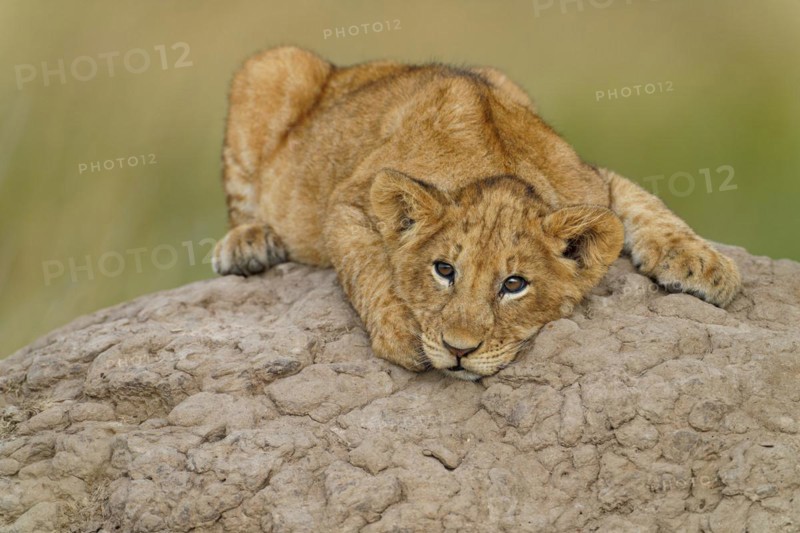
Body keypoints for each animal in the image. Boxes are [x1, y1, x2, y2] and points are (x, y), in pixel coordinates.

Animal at [212, 46, 741, 381]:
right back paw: (248, 244)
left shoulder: (594, 181)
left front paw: (704, 265)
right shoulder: (349, 201)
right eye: (444, 270)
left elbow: (646, 204)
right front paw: (406, 331)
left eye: (514, 285)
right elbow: (369, 267)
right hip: (271, 68)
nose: (459, 351)